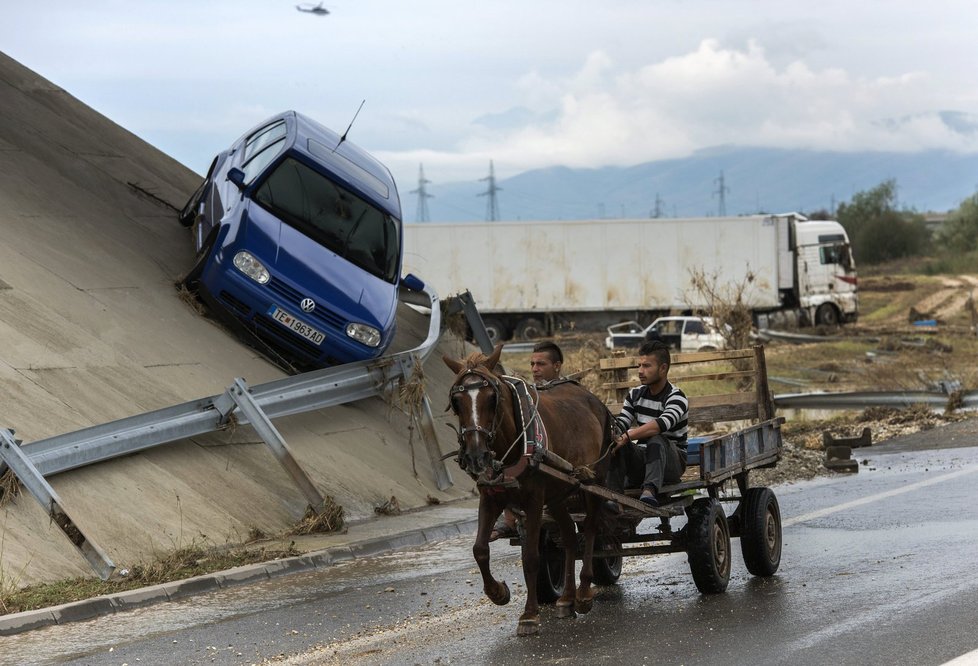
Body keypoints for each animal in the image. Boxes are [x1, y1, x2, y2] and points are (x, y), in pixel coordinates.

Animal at [440, 342, 608, 632]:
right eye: (456, 402)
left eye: (492, 399)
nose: (476, 456)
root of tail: (592, 398)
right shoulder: (490, 496)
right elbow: (479, 549)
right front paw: (497, 592)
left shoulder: (534, 501)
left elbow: (530, 557)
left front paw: (529, 614)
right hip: (557, 494)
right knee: (568, 535)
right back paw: (566, 598)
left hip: (593, 482)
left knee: (590, 528)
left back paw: (584, 592)